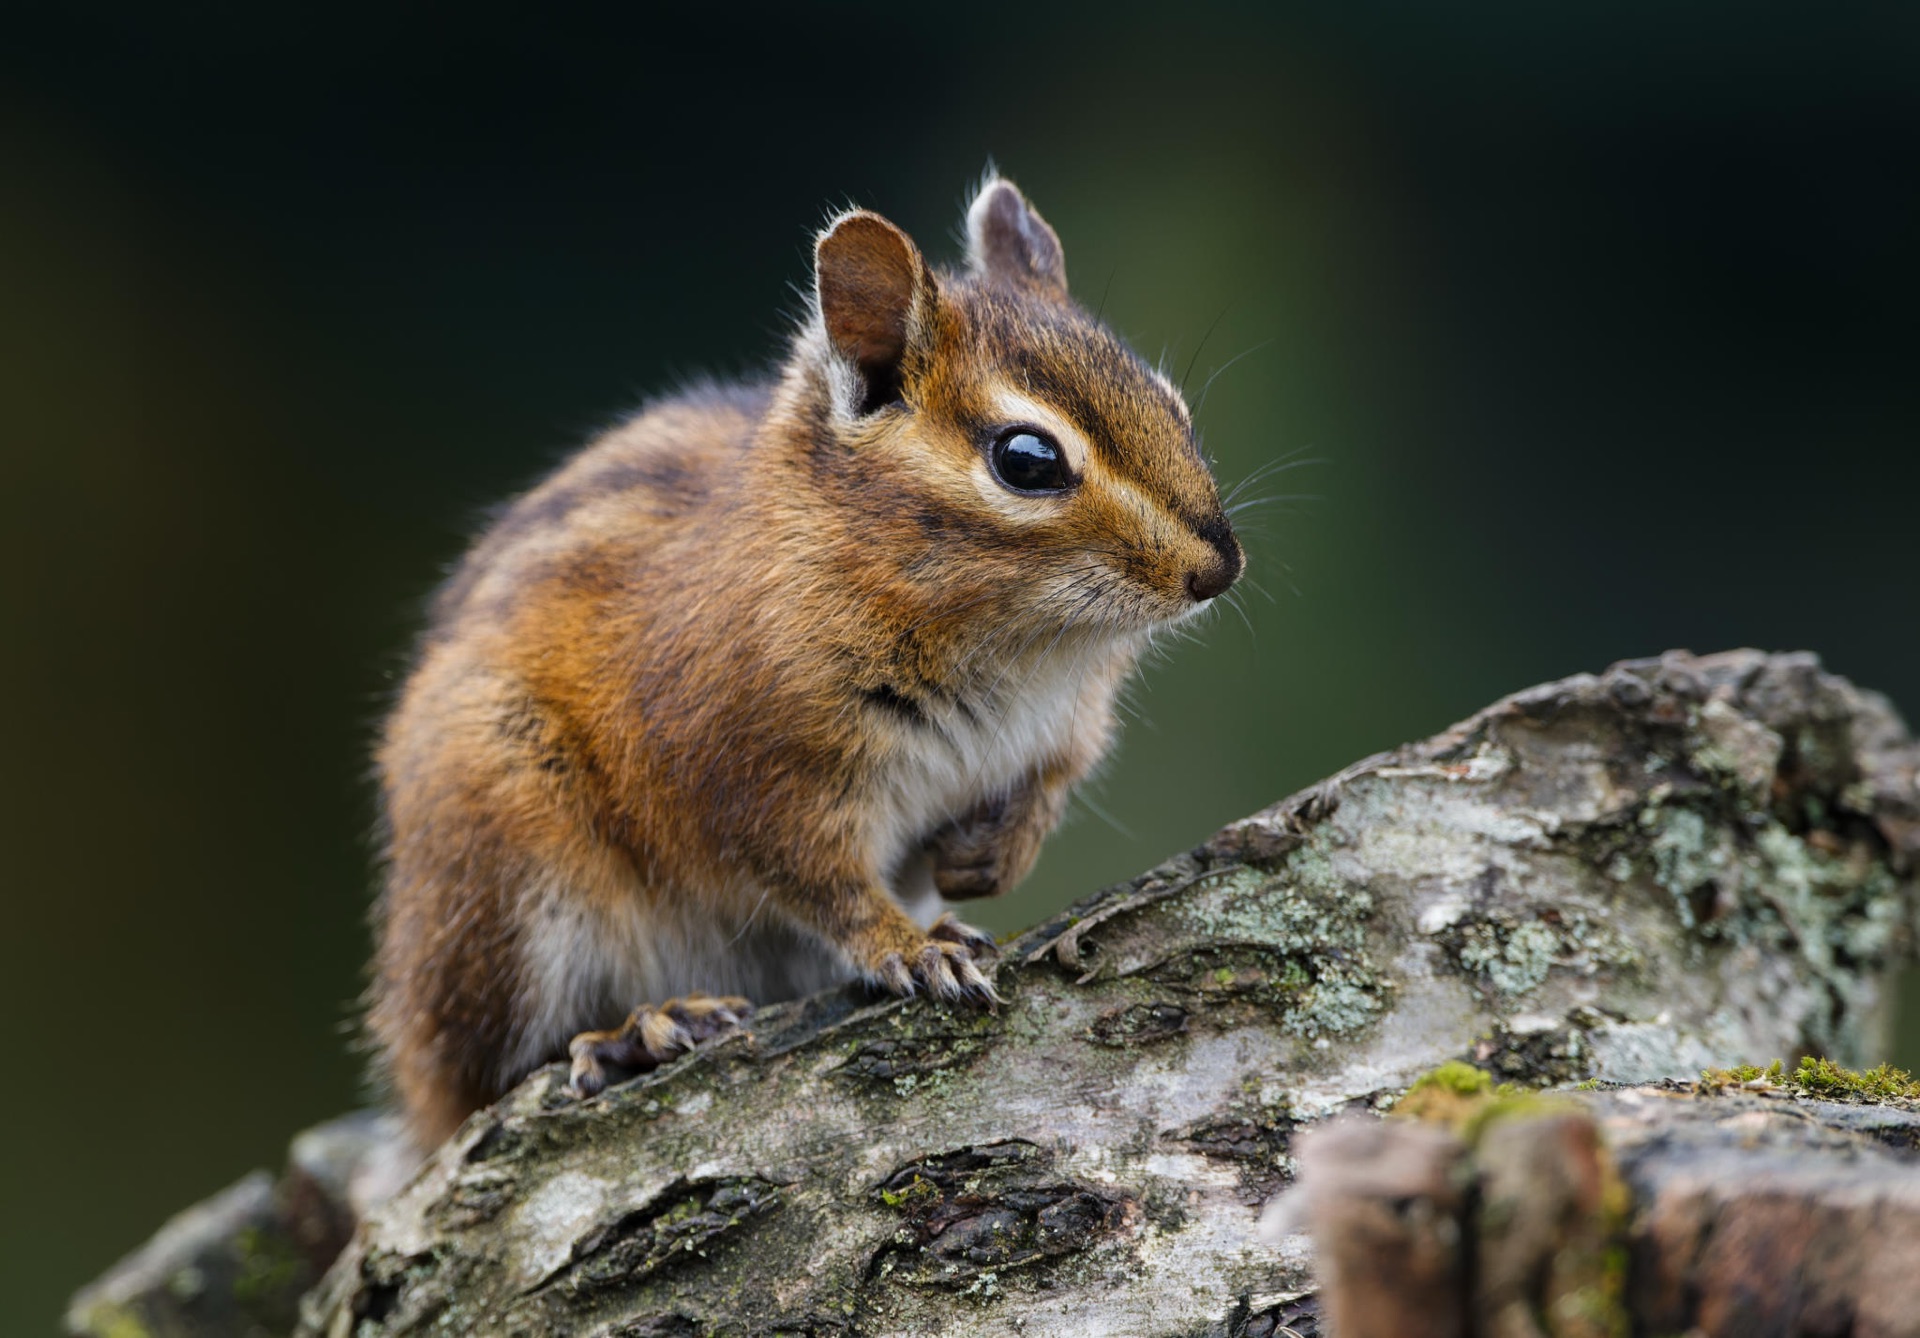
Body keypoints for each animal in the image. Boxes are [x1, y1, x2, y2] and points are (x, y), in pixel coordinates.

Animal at [369, 176, 1245, 1148]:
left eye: (1171, 404)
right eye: (1028, 460)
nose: (1221, 567)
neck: (1022, 651)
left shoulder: (1065, 730)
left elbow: (1044, 788)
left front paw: (987, 861)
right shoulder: (750, 770)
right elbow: (820, 882)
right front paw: (911, 946)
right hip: (504, 859)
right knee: (496, 1076)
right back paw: (637, 1032)